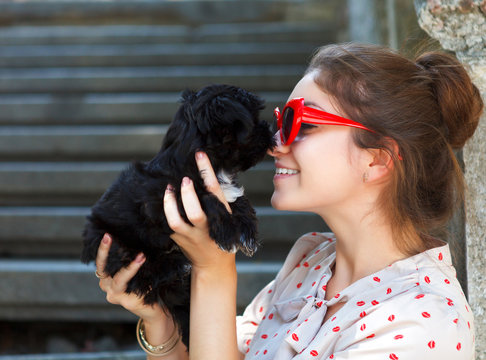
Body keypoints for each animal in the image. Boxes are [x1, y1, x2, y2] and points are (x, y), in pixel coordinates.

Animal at [81, 84, 276, 348]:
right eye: (254, 120)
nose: (270, 130)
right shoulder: (162, 201)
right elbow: (207, 198)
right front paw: (229, 232)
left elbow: (236, 197)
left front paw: (247, 229)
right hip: (113, 240)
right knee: (139, 270)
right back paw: (174, 265)